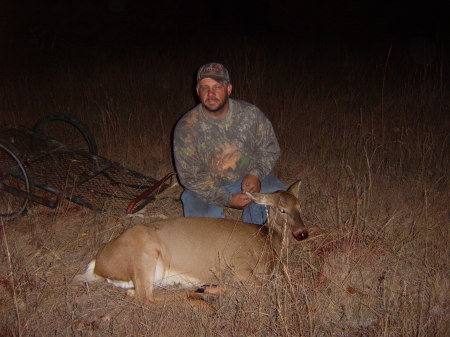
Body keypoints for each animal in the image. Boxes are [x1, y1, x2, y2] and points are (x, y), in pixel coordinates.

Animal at [74, 181, 308, 302]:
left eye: (299, 206)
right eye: (282, 209)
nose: (302, 233)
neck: (267, 239)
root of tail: (98, 263)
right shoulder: (239, 266)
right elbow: (257, 288)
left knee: (138, 292)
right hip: (143, 254)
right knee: (147, 298)